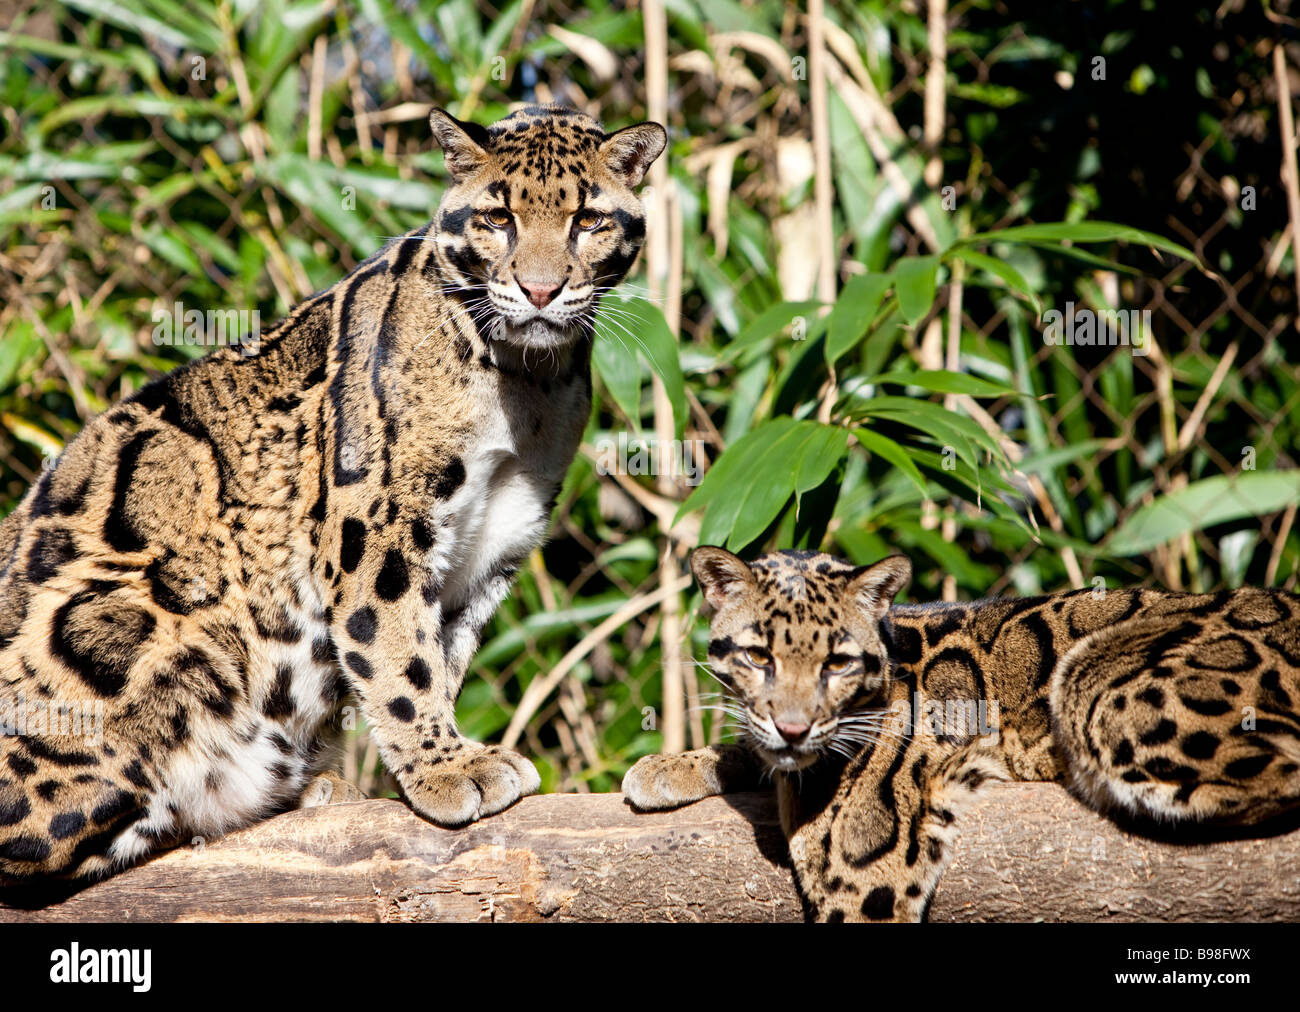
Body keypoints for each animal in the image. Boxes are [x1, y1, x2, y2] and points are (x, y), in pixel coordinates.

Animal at [0, 102, 665, 874]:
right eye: (498, 218)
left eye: (588, 220)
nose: (539, 290)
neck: (529, 383)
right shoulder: (376, 523)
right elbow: (397, 653)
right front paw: (448, 769)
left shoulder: (494, 542)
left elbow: (439, 655)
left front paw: (436, 759)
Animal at [621, 548, 1300, 920]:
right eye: (758, 655)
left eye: (836, 663)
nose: (793, 727)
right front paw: (678, 763)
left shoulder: (866, 872)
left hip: (1097, 681)